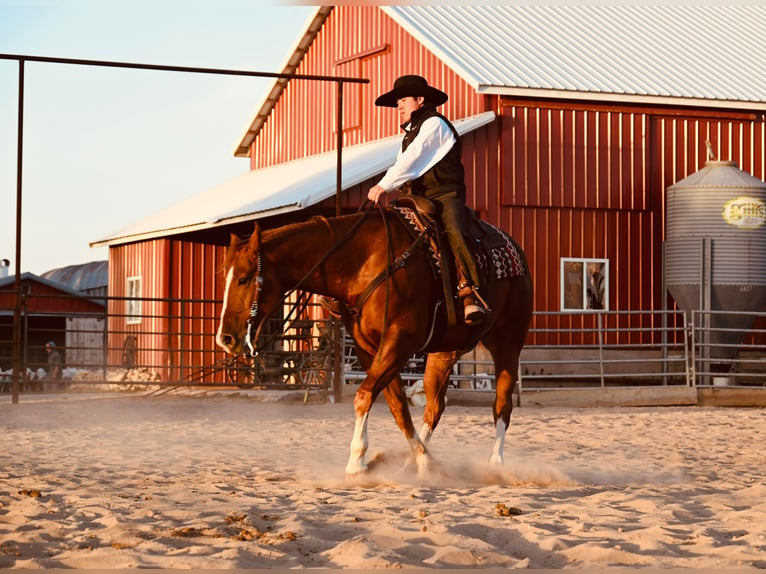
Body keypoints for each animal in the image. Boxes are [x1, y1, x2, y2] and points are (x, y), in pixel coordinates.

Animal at [216, 206, 536, 476]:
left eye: (243, 278)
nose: (225, 337)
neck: (364, 262)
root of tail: (517, 251)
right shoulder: (371, 350)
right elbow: (398, 408)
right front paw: (422, 460)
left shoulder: (398, 343)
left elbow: (364, 396)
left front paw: (357, 461)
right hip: (445, 352)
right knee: (434, 407)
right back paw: (412, 462)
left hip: (507, 342)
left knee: (502, 404)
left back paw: (495, 464)